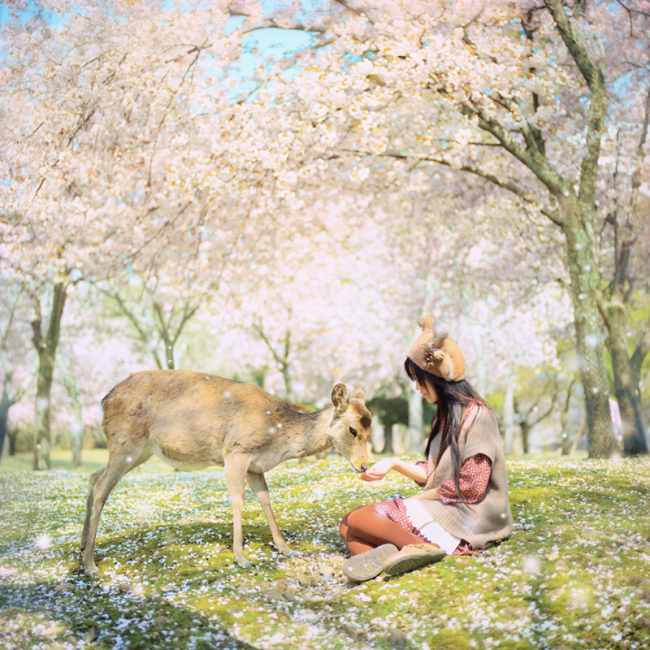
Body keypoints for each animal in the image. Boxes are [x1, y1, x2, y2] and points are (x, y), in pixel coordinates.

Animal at [81, 368, 370, 576]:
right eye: (353, 429)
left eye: (370, 428)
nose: (364, 465)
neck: (276, 439)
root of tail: (104, 401)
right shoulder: (236, 451)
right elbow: (238, 501)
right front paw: (242, 558)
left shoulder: (255, 466)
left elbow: (265, 500)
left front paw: (288, 550)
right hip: (126, 442)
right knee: (101, 489)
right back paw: (91, 565)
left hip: (139, 451)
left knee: (94, 477)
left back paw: (83, 546)